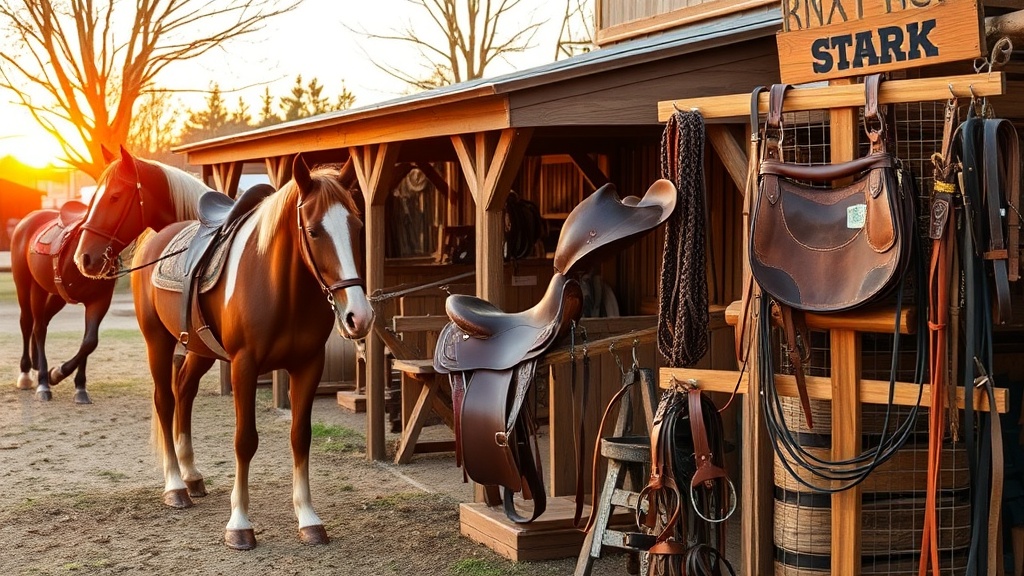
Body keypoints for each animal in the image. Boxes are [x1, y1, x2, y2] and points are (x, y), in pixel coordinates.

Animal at [10, 202, 116, 403]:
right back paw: (27, 374)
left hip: (57, 297)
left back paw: (36, 366)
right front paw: (48, 379)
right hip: (27, 286)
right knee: (29, 324)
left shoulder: (99, 301)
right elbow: (38, 329)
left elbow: (89, 341)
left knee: (42, 320)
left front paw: (79, 387)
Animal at [76, 151, 374, 550]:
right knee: (165, 400)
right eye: (313, 231)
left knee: (183, 391)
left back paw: (190, 476)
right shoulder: (243, 366)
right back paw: (175, 487)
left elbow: (300, 437)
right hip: (158, 341)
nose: (360, 315)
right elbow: (244, 441)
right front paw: (240, 524)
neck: (280, 284)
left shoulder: (308, 365)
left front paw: (309, 518)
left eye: (357, 226)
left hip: (199, 351)